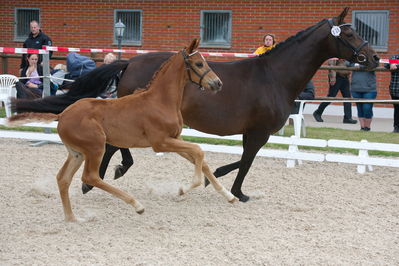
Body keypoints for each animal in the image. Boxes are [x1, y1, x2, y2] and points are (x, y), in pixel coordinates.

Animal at [8, 39, 238, 221]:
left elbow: (202, 159)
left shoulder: (174, 139)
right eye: (199, 63)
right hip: (95, 147)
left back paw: (72, 218)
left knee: (63, 179)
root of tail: (62, 115)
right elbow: (199, 151)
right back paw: (137, 205)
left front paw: (229, 196)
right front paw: (183, 189)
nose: (218, 83)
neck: (160, 101)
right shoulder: (160, 143)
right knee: (90, 177)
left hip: (77, 153)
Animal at [12, 7, 380, 202]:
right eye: (348, 34)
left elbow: (240, 161)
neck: (273, 75)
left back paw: (96, 180)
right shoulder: (258, 132)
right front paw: (237, 192)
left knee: (114, 147)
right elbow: (246, 162)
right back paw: (98, 179)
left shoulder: (254, 133)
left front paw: (209, 178)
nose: (374, 58)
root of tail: (130, 62)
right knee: (117, 147)